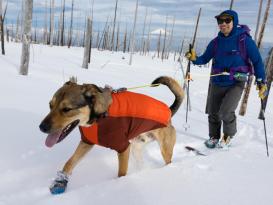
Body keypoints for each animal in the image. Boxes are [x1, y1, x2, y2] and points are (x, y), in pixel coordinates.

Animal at [39, 76, 184, 195]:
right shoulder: (87, 142)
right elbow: (69, 163)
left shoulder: (123, 148)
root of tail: (169, 111)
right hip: (137, 148)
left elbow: (121, 173)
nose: (41, 127)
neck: (100, 116)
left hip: (164, 150)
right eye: (50, 105)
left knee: (168, 161)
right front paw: (60, 181)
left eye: (67, 109)